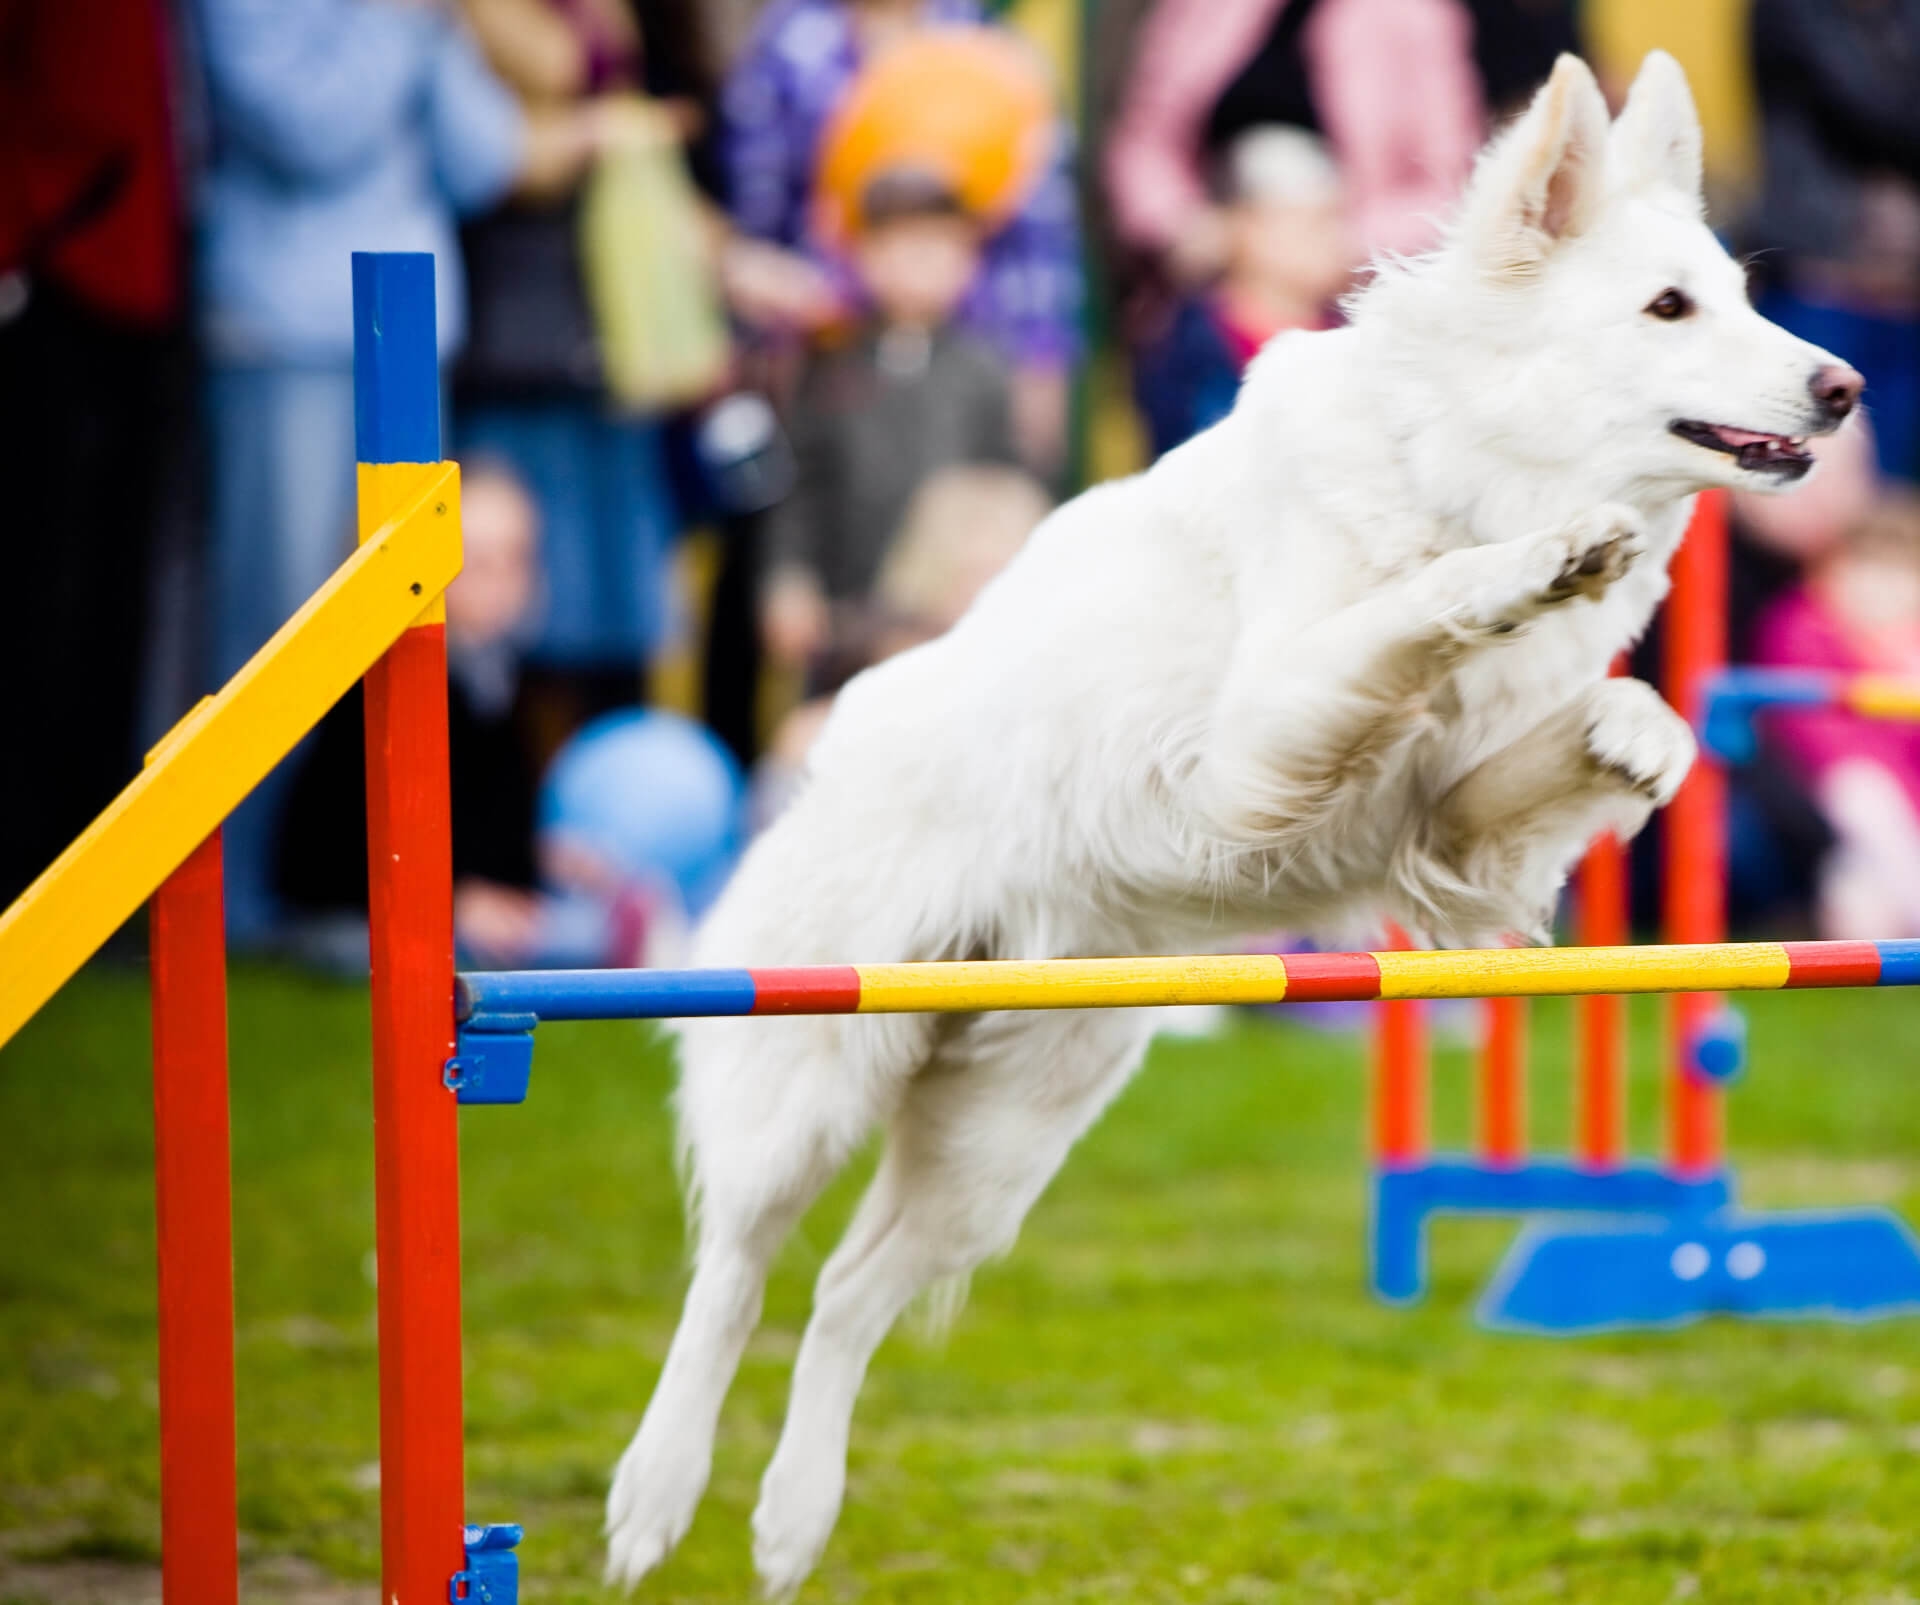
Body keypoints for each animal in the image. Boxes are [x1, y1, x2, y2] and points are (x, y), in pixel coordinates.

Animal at [602, 50, 1858, 1589]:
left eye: (1737, 291)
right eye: (1670, 308)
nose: (1848, 385)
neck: (1458, 462)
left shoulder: (1452, 843)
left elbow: (1593, 731)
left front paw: (1637, 732)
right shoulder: (1256, 737)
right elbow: (1412, 609)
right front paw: (1527, 568)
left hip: (1001, 1143)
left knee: (846, 1292)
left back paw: (792, 1519)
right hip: (815, 1072)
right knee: (733, 1274)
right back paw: (657, 1497)